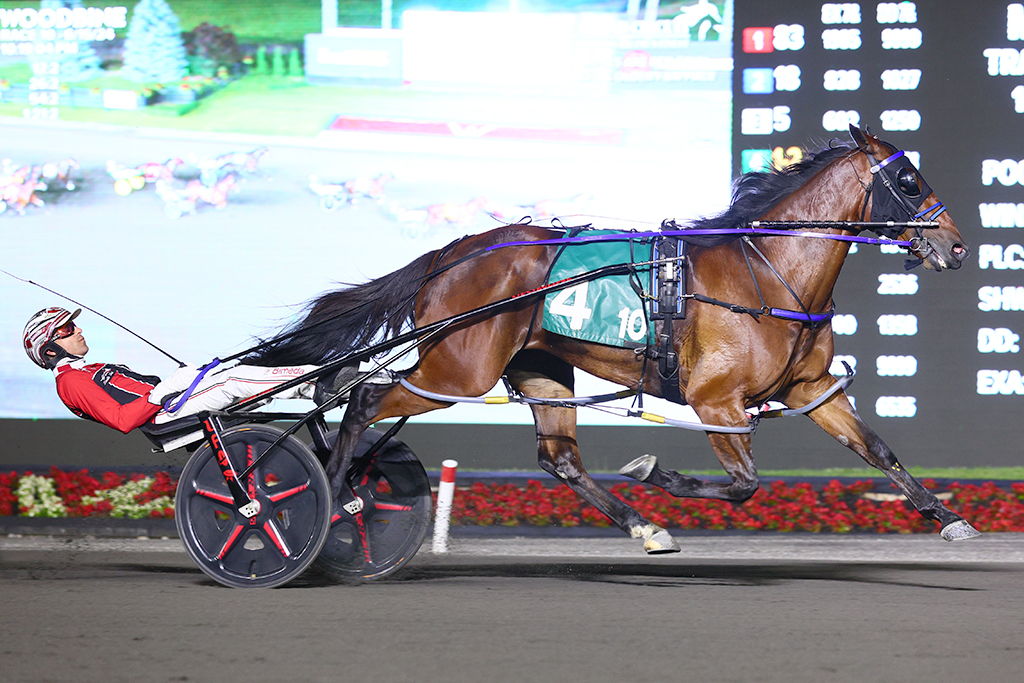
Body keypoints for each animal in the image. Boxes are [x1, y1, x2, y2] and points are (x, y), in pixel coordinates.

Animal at [247, 126, 974, 557]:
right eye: (908, 181)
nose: (957, 246)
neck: (768, 269)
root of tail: (452, 252)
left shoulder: (811, 387)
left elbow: (878, 449)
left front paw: (947, 516)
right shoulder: (716, 400)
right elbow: (743, 483)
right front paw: (660, 473)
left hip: (539, 367)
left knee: (559, 458)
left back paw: (642, 526)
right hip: (458, 370)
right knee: (365, 399)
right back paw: (330, 498)